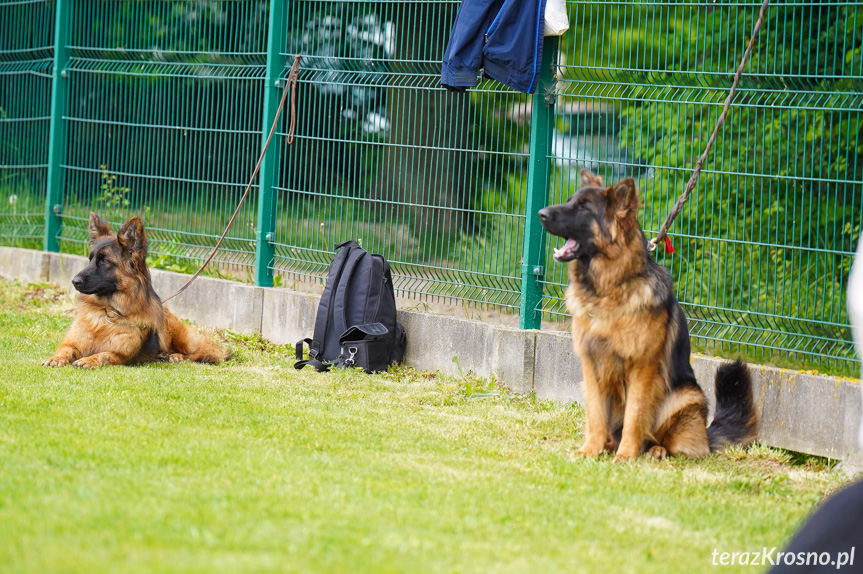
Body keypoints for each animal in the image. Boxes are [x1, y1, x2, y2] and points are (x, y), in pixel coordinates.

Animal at [42, 214, 230, 372]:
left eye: (105, 261)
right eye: (90, 259)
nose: (75, 281)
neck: (107, 312)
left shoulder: (119, 355)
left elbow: (104, 355)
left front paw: (89, 360)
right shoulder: (72, 343)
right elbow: (64, 349)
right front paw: (55, 358)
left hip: (175, 332)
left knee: (200, 350)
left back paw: (175, 356)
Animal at [540, 171, 756, 464]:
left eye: (583, 207)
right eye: (570, 200)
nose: (540, 214)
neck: (609, 290)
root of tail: (706, 435)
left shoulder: (641, 369)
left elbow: (635, 416)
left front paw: (626, 455)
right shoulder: (592, 367)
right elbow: (596, 416)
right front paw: (590, 450)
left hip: (683, 396)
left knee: (671, 442)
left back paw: (655, 449)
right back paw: (610, 445)